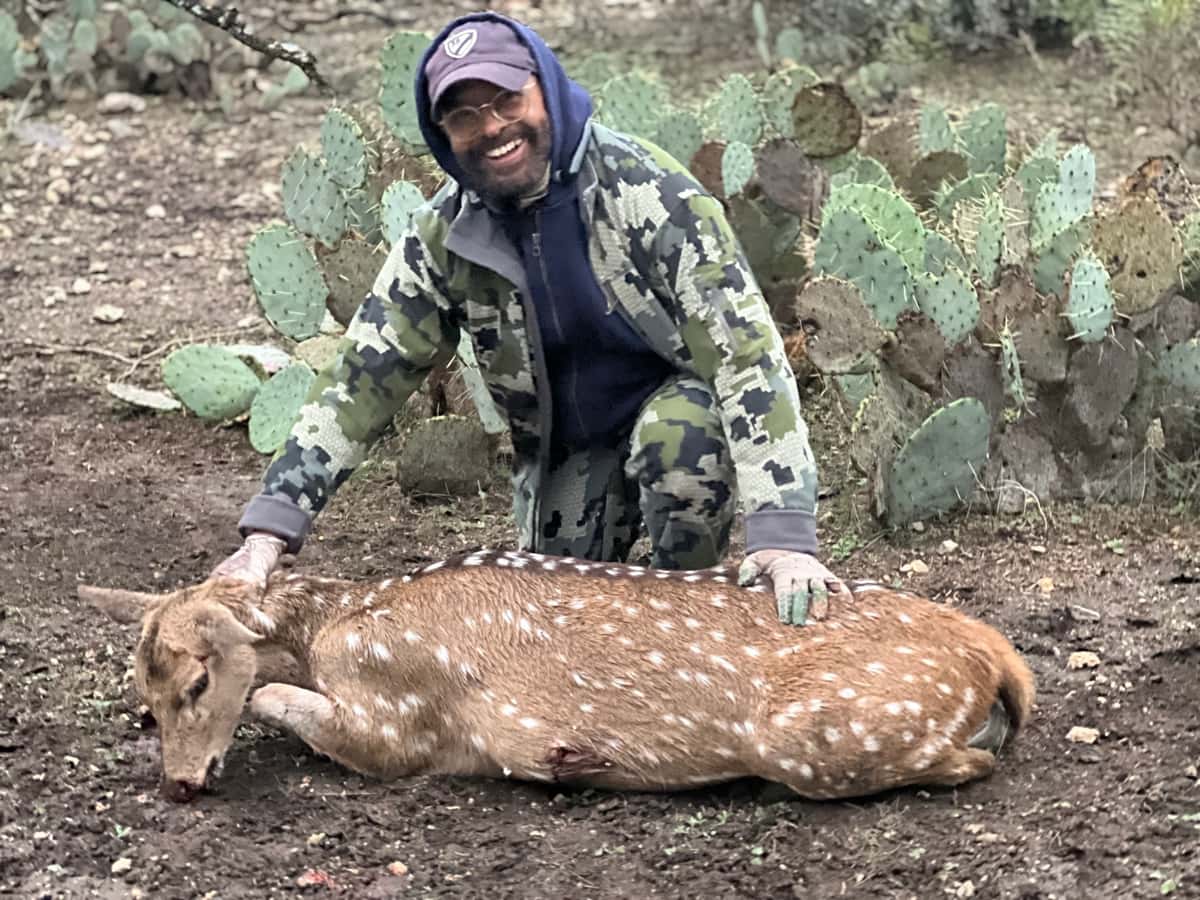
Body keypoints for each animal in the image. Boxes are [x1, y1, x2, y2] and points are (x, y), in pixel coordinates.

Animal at [81, 549, 1035, 804]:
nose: (180, 784)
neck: (336, 623)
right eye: (143, 701)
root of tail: (998, 657)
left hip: (819, 731)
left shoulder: (396, 725)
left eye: (197, 682)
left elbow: (280, 696)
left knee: (973, 760)